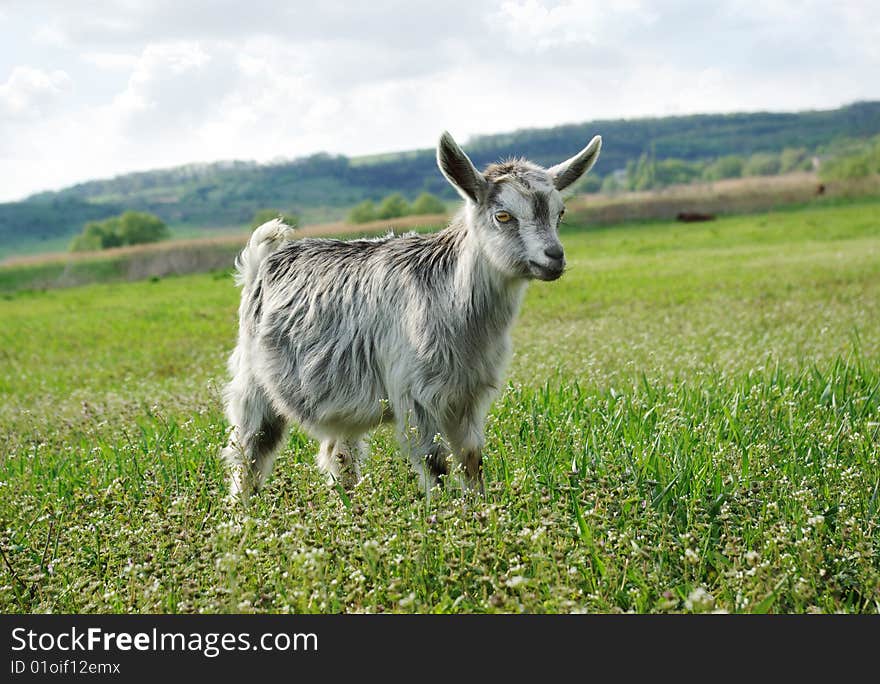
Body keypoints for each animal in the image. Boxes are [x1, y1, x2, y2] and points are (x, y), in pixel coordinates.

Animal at [223, 131, 600, 500]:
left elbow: (471, 458)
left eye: (560, 213)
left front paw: (480, 507)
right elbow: (434, 463)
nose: (554, 256)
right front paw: (442, 512)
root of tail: (263, 259)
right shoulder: (416, 392)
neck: (451, 297)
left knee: (338, 452)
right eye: (503, 215)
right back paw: (244, 507)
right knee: (250, 449)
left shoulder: (467, 393)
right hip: (253, 382)